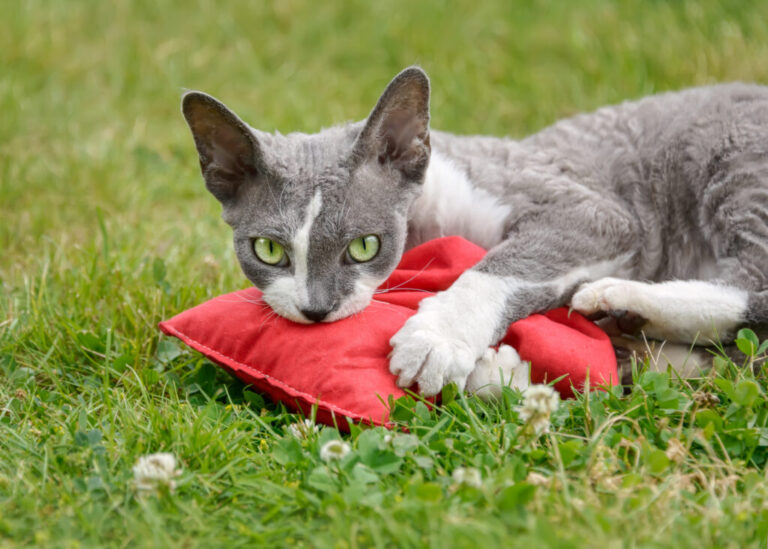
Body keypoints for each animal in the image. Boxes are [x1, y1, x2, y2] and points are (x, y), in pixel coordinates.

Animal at [182, 67, 768, 394]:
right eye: (269, 250)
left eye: (364, 246)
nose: (315, 309)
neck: (431, 222)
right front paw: (503, 372)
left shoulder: (594, 212)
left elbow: (499, 268)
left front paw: (437, 340)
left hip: (731, 156)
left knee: (754, 282)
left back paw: (623, 299)